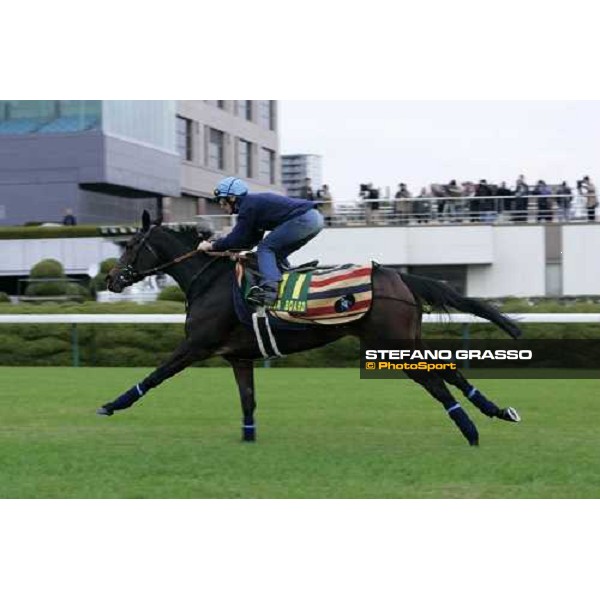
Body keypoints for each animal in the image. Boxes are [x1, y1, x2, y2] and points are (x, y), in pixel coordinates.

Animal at [99, 211, 520, 446]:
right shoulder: (239, 356)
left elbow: (156, 375)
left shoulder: (197, 344)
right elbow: (248, 400)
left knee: (435, 382)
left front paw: (112, 404)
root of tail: (399, 276)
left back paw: (470, 429)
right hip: (406, 339)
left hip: (389, 343)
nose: (112, 279)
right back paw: (497, 411)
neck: (210, 280)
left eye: (132, 244)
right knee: (448, 371)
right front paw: (248, 438)